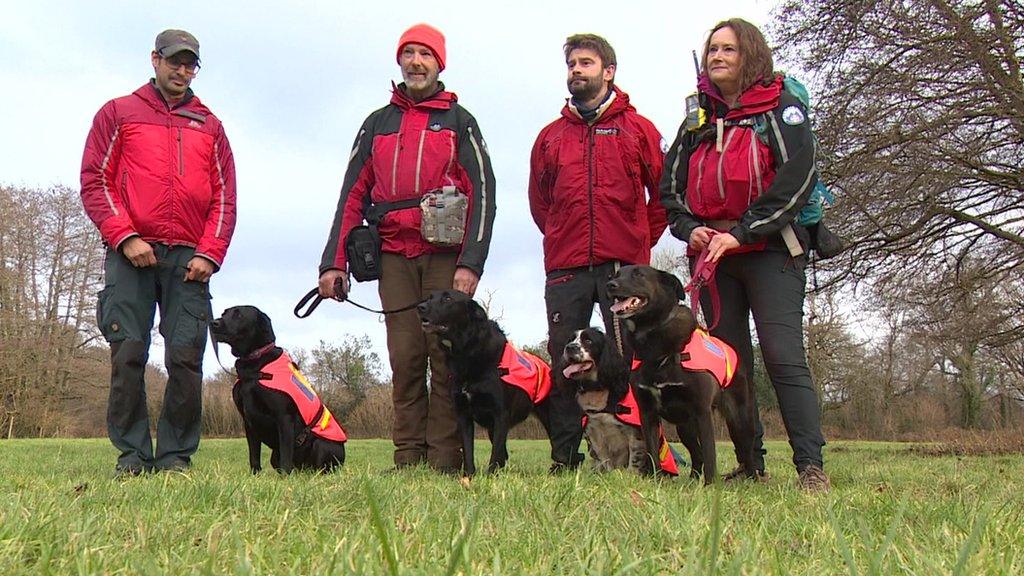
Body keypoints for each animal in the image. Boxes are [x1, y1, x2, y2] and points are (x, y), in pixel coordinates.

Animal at [209, 305, 346, 471]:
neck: (254, 365)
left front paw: (286, 476)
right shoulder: (248, 422)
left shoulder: (284, 417)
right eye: (224, 313)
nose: (213, 323)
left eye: (238, 315)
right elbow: (254, 456)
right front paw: (255, 474)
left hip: (322, 445)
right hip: (275, 456)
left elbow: (286, 456)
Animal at [415, 289, 552, 473]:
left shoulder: (501, 414)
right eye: (430, 297)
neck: (467, 352)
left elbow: (495, 454)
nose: (420, 307)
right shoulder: (464, 415)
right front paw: (469, 475)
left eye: (448, 298)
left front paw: (489, 475)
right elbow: (468, 450)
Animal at [602, 266, 757, 481]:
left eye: (638, 274)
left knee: (747, 451)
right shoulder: (647, 413)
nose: (610, 285)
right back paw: (692, 479)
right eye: (615, 275)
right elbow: (653, 453)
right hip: (685, 427)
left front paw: (711, 485)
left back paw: (752, 479)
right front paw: (656, 480)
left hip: (739, 420)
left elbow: (710, 454)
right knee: (697, 454)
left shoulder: (702, 412)